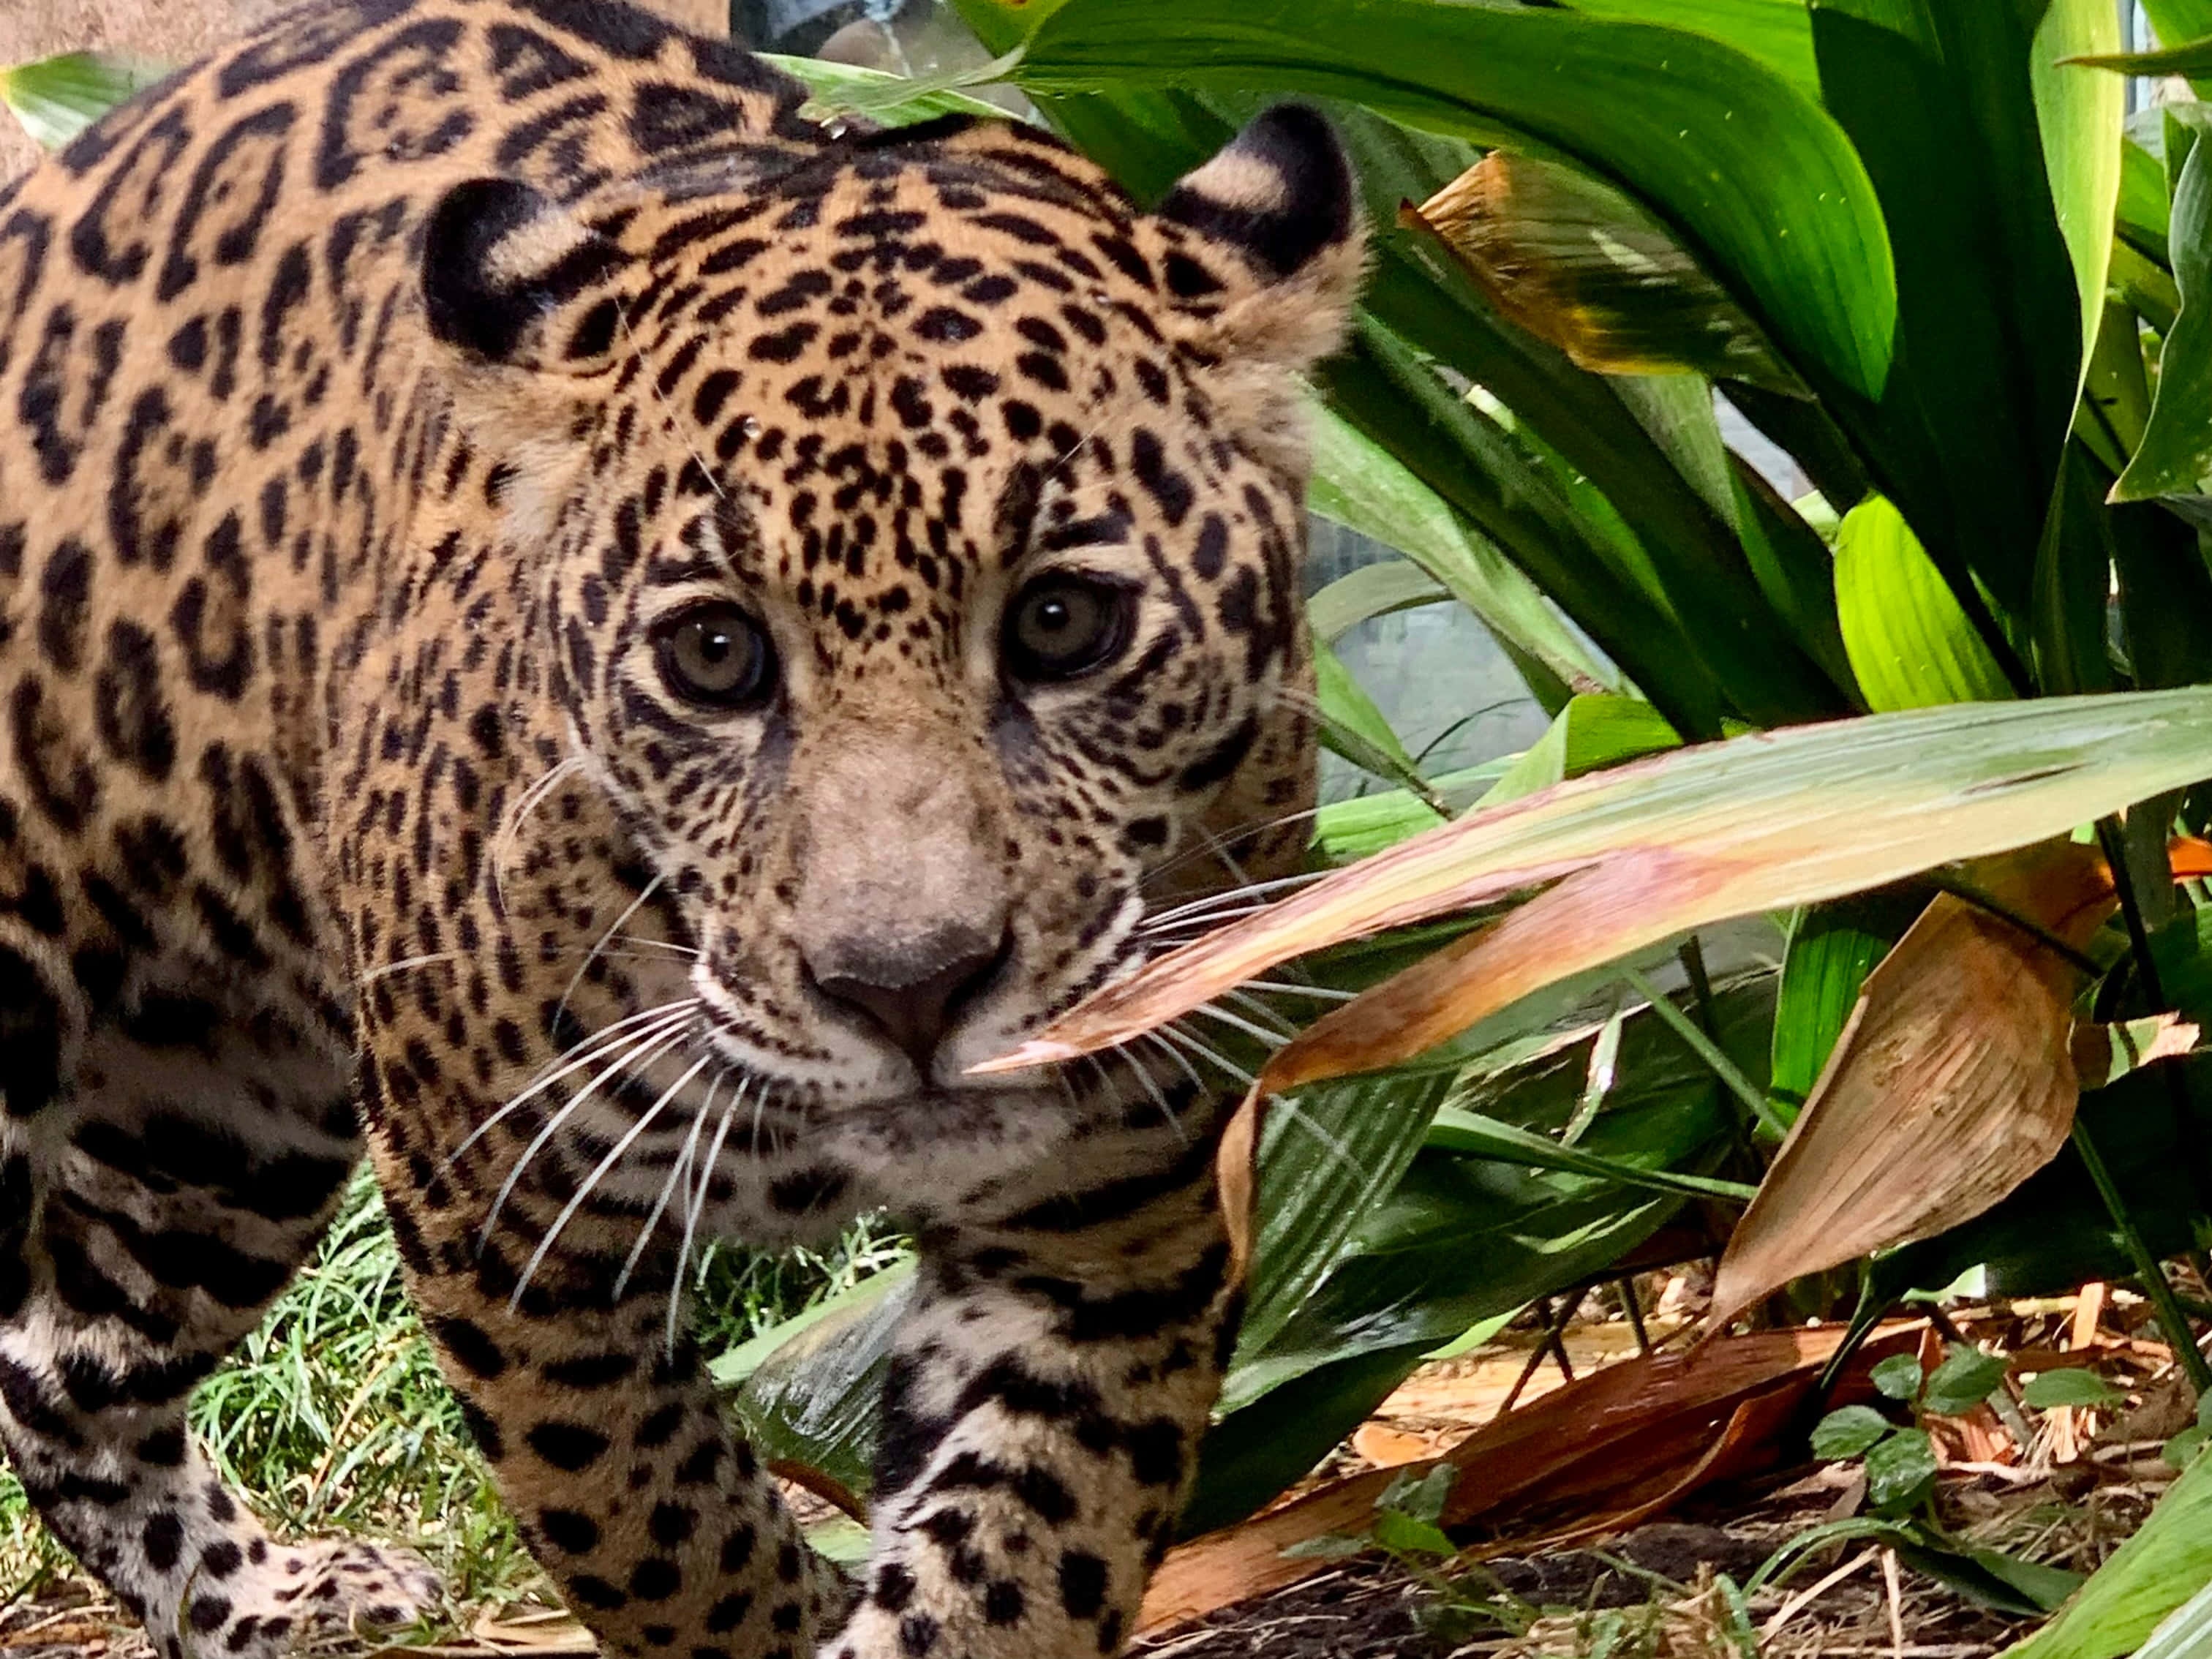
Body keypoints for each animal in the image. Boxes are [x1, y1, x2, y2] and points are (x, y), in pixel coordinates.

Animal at [0, 2, 1363, 1655]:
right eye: (716, 654)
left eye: (1061, 622)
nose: (910, 989)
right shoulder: (506, 1220)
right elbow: (668, 1534)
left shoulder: (1116, 1218)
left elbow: (1020, 1555)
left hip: (216, 1126)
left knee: (61, 1371)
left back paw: (272, 1599)